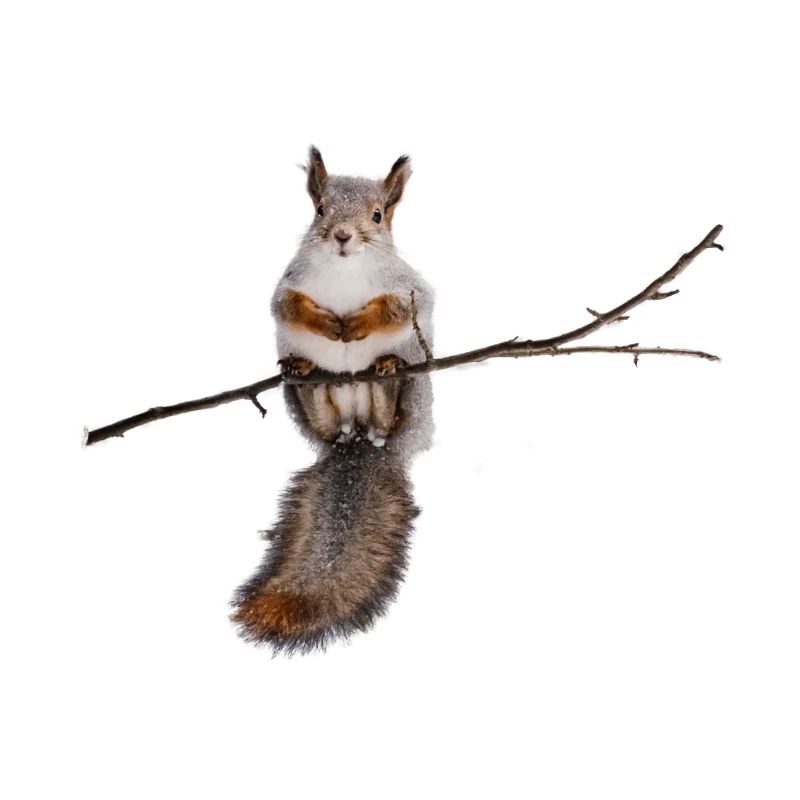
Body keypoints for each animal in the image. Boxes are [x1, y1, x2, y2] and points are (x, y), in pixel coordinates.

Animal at [230, 147, 434, 653]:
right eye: (320, 210)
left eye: (377, 216)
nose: (342, 236)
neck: (345, 271)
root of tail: (358, 438)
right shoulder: (287, 285)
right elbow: (287, 306)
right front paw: (325, 324)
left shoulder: (411, 290)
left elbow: (399, 308)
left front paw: (356, 325)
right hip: (305, 403)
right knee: (321, 409)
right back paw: (307, 374)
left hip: (412, 397)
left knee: (387, 412)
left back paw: (386, 372)